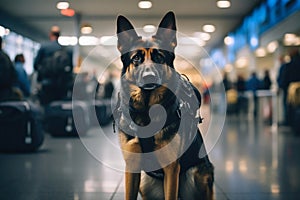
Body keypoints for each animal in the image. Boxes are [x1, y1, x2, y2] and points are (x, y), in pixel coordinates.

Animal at [113, 11, 214, 200]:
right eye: (136, 58)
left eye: (159, 57)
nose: (149, 77)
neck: (147, 111)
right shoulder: (132, 167)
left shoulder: (171, 169)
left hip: (198, 175)